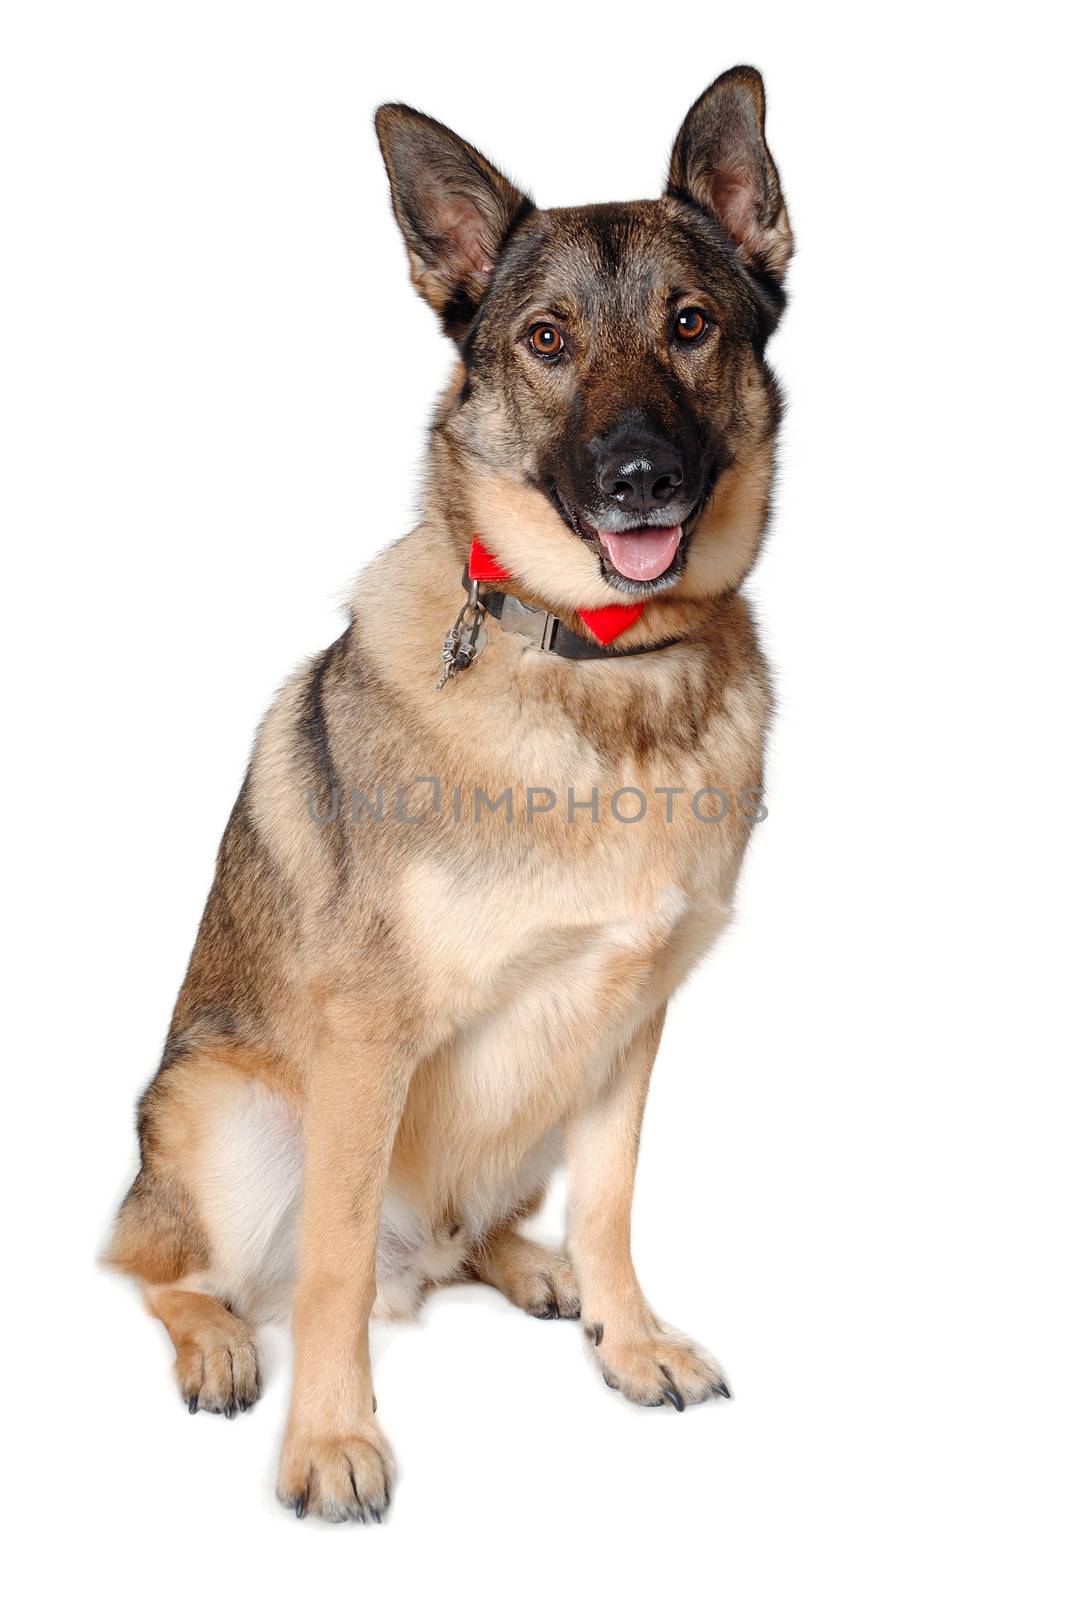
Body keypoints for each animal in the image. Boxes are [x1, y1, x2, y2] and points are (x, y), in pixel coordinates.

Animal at [108, 65, 793, 1523]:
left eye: (690, 324)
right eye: (543, 339)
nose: (639, 479)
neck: (594, 661)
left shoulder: (629, 1021)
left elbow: (610, 1202)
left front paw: (626, 1336)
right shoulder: (365, 1043)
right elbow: (325, 1272)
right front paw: (327, 1439)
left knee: (481, 1229)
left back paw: (532, 1271)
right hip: (224, 1116)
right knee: (164, 1266)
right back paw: (215, 1344)